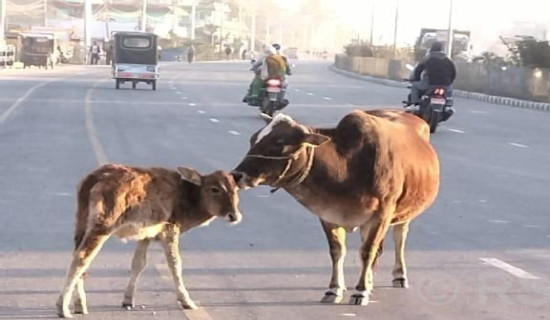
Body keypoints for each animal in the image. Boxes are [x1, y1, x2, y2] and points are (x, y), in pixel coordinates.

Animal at [55, 164, 242, 318]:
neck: (187, 201)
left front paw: (128, 299)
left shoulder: (145, 235)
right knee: (82, 258)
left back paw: (80, 304)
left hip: (82, 221)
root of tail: (92, 179)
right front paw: (186, 300)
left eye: (236, 190)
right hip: (104, 223)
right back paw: (62, 307)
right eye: (214, 189)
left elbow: (138, 263)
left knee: (79, 256)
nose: (234, 215)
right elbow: (175, 265)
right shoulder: (170, 228)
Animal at [232, 110, 440, 304]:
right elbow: (337, 251)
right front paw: (334, 289)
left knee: (399, 238)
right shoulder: (329, 214)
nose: (237, 175)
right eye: (253, 139)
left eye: (278, 143)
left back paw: (398, 275)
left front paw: (360, 291)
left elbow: (367, 252)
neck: (348, 165)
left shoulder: (382, 214)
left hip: (404, 213)